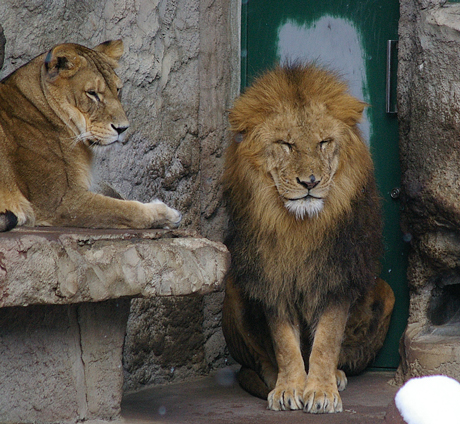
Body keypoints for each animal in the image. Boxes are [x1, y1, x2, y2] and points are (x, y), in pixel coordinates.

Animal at [0, 39, 181, 232]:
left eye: (118, 89)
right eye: (92, 93)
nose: (123, 128)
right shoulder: (60, 202)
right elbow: (125, 209)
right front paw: (168, 215)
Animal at [221, 63, 394, 414]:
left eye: (324, 142)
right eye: (286, 144)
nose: (310, 182)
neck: (299, 227)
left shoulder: (339, 277)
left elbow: (327, 340)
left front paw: (322, 391)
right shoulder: (271, 278)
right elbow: (284, 344)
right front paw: (289, 387)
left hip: (387, 292)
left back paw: (337, 376)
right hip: (232, 283)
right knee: (258, 361)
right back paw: (273, 380)